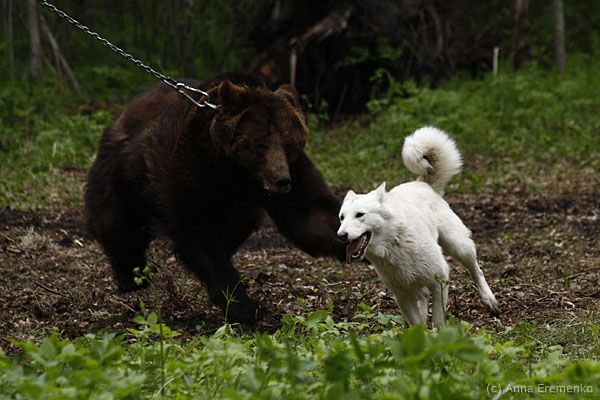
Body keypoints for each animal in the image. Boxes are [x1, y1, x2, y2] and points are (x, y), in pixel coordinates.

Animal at [84, 72, 345, 323]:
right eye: (260, 145)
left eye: (288, 143)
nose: (281, 180)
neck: (237, 172)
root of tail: (125, 112)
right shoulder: (190, 170)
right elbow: (200, 235)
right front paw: (246, 306)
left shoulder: (291, 172)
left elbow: (311, 214)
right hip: (123, 174)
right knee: (117, 222)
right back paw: (130, 276)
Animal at [337, 126, 499, 327]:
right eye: (342, 218)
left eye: (360, 214)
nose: (341, 235)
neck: (394, 244)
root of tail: (422, 183)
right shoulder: (402, 295)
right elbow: (417, 325)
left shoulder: (440, 280)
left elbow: (438, 320)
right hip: (418, 285)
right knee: (423, 299)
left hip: (459, 247)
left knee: (477, 270)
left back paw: (490, 300)